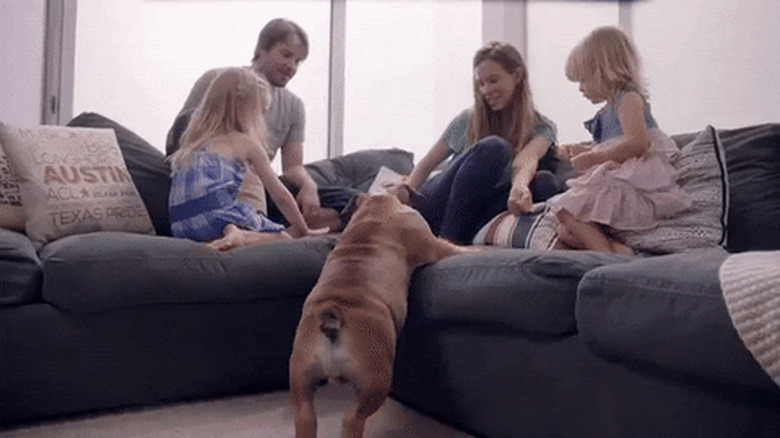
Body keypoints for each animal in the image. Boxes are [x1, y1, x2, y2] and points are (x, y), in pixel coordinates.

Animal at [290, 194, 466, 438]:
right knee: (352, 418)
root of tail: (333, 315)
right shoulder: (434, 245)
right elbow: (453, 248)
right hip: (376, 381)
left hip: (302, 379)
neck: (375, 211)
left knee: (305, 416)